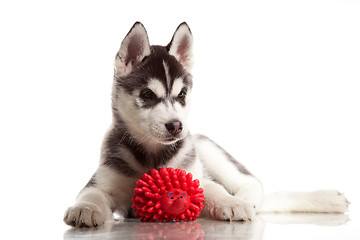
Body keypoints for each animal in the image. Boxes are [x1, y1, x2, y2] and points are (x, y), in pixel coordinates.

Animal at [63, 22, 348, 227]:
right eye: (147, 95)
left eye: (182, 95)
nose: (176, 126)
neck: (151, 155)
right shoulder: (102, 181)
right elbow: (90, 195)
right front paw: (84, 210)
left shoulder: (194, 175)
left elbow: (215, 190)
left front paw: (230, 203)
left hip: (205, 146)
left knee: (255, 186)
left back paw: (247, 200)